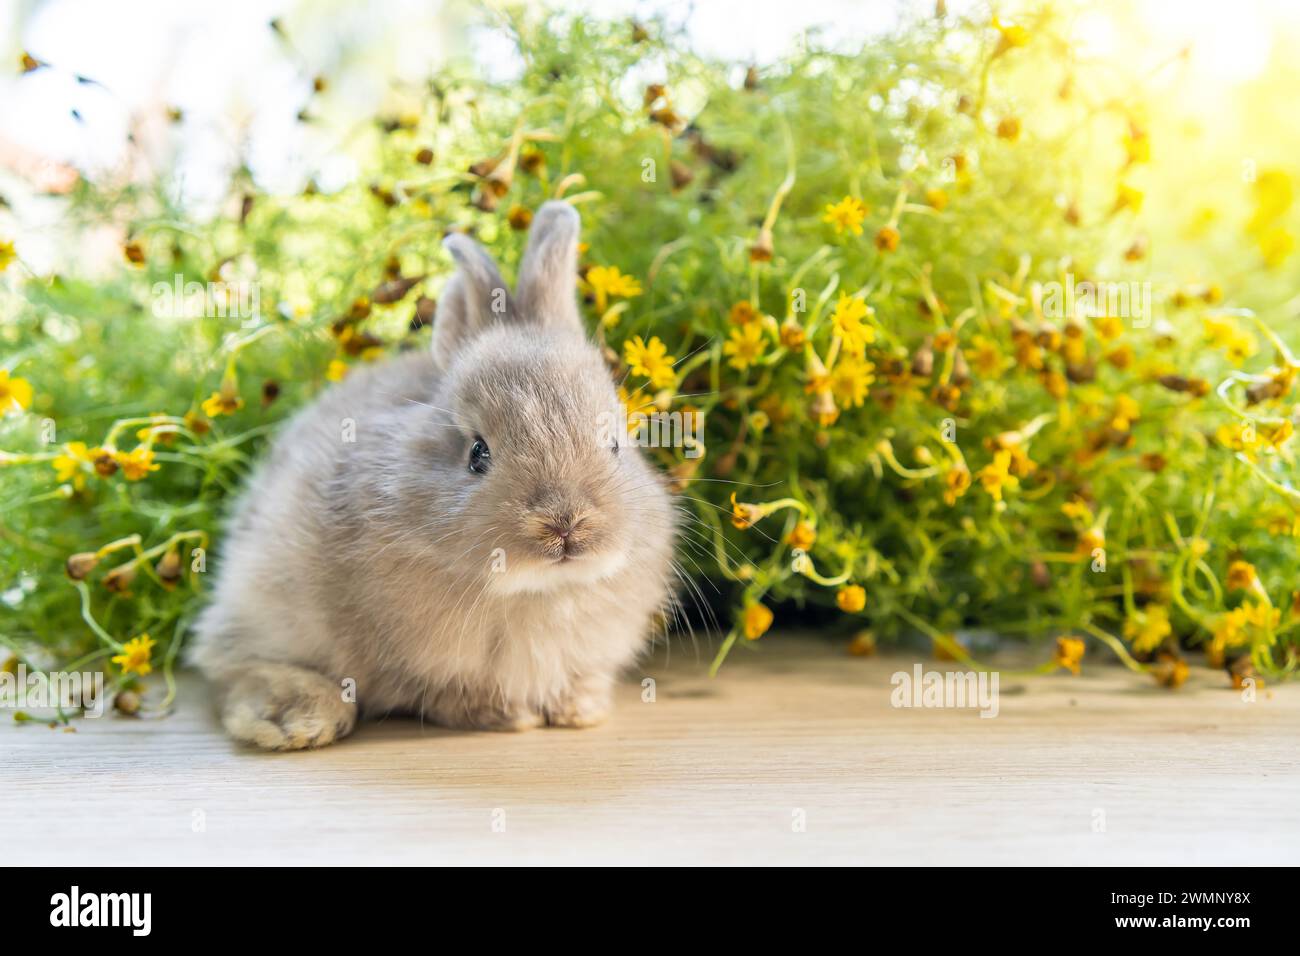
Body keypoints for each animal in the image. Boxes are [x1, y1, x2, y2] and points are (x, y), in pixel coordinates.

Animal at [189, 201, 677, 750]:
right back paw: (299, 717)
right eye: (477, 453)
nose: (565, 524)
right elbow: (443, 696)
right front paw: (509, 716)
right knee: (227, 661)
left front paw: (581, 710)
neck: (538, 590)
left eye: (614, 443)